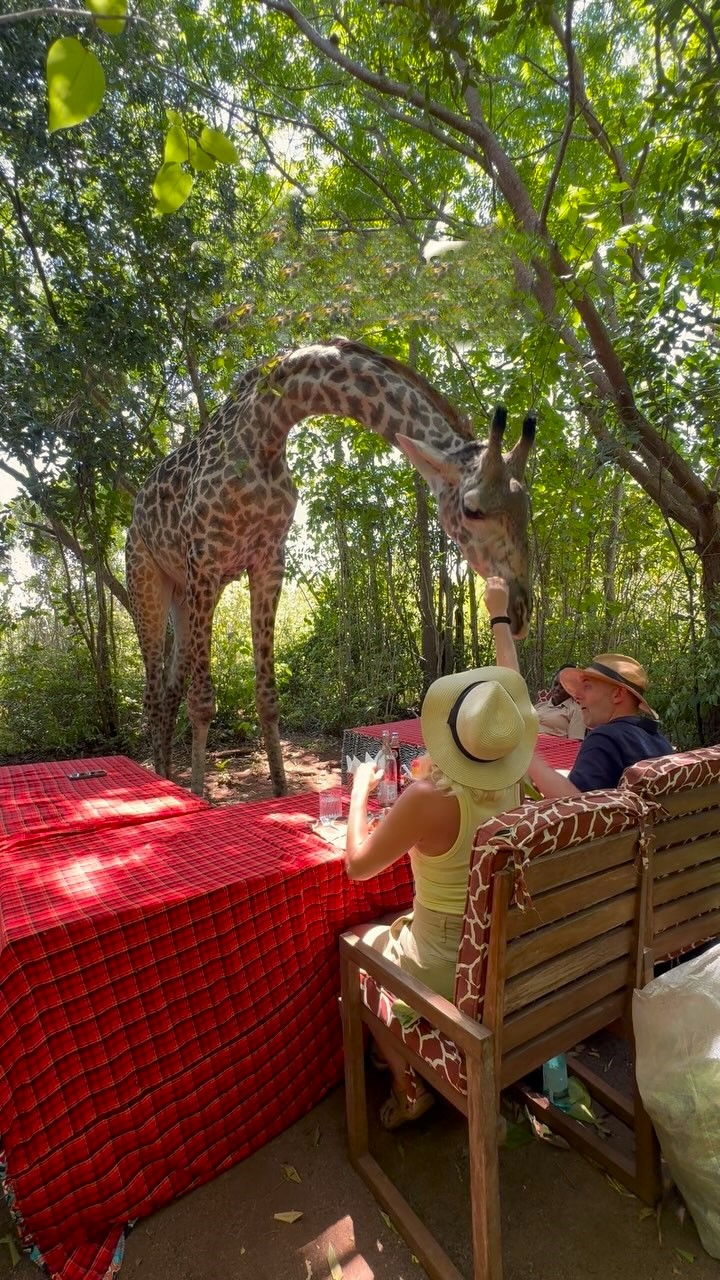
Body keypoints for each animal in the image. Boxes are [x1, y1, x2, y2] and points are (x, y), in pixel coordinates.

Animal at [126, 338, 536, 797]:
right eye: (473, 509)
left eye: (526, 506)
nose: (520, 609)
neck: (264, 431)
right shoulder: (205, 562)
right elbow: (202, 702)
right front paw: (200, 796)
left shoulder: (268, 562)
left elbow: (267, 697)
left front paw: (281, 792)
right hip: (149, 580)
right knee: (153, 691)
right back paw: (164, 783)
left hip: (180, 594)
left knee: (168, 689)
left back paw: (165, 777)